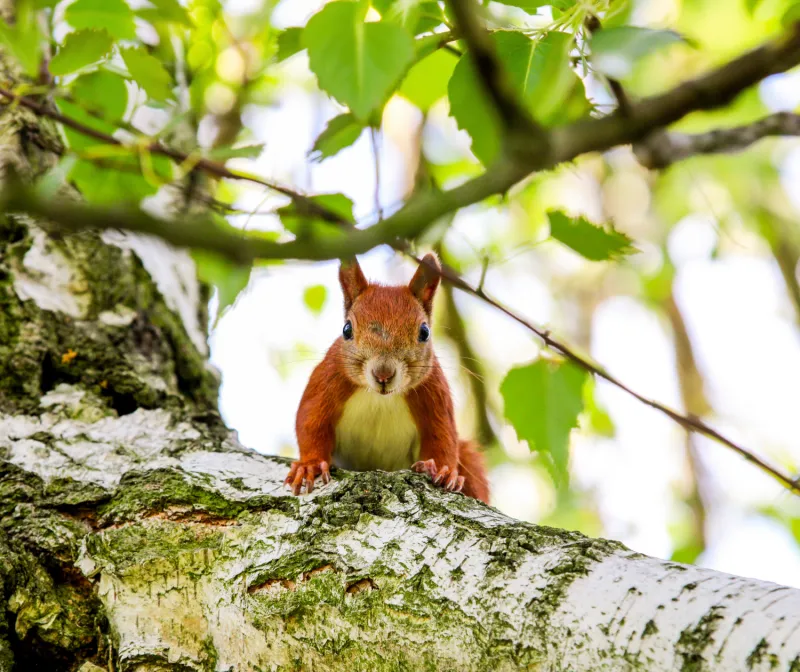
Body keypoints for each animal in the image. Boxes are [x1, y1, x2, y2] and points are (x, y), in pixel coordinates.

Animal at [285, 253, 490, 503]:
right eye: (346, 329)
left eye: (424, 332)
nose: (383, 374)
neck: (380, 399)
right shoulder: (328, 380)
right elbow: (311, 421)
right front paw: (309, 465)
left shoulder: (433, 393)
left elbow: (443, 435)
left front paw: (443, 470)